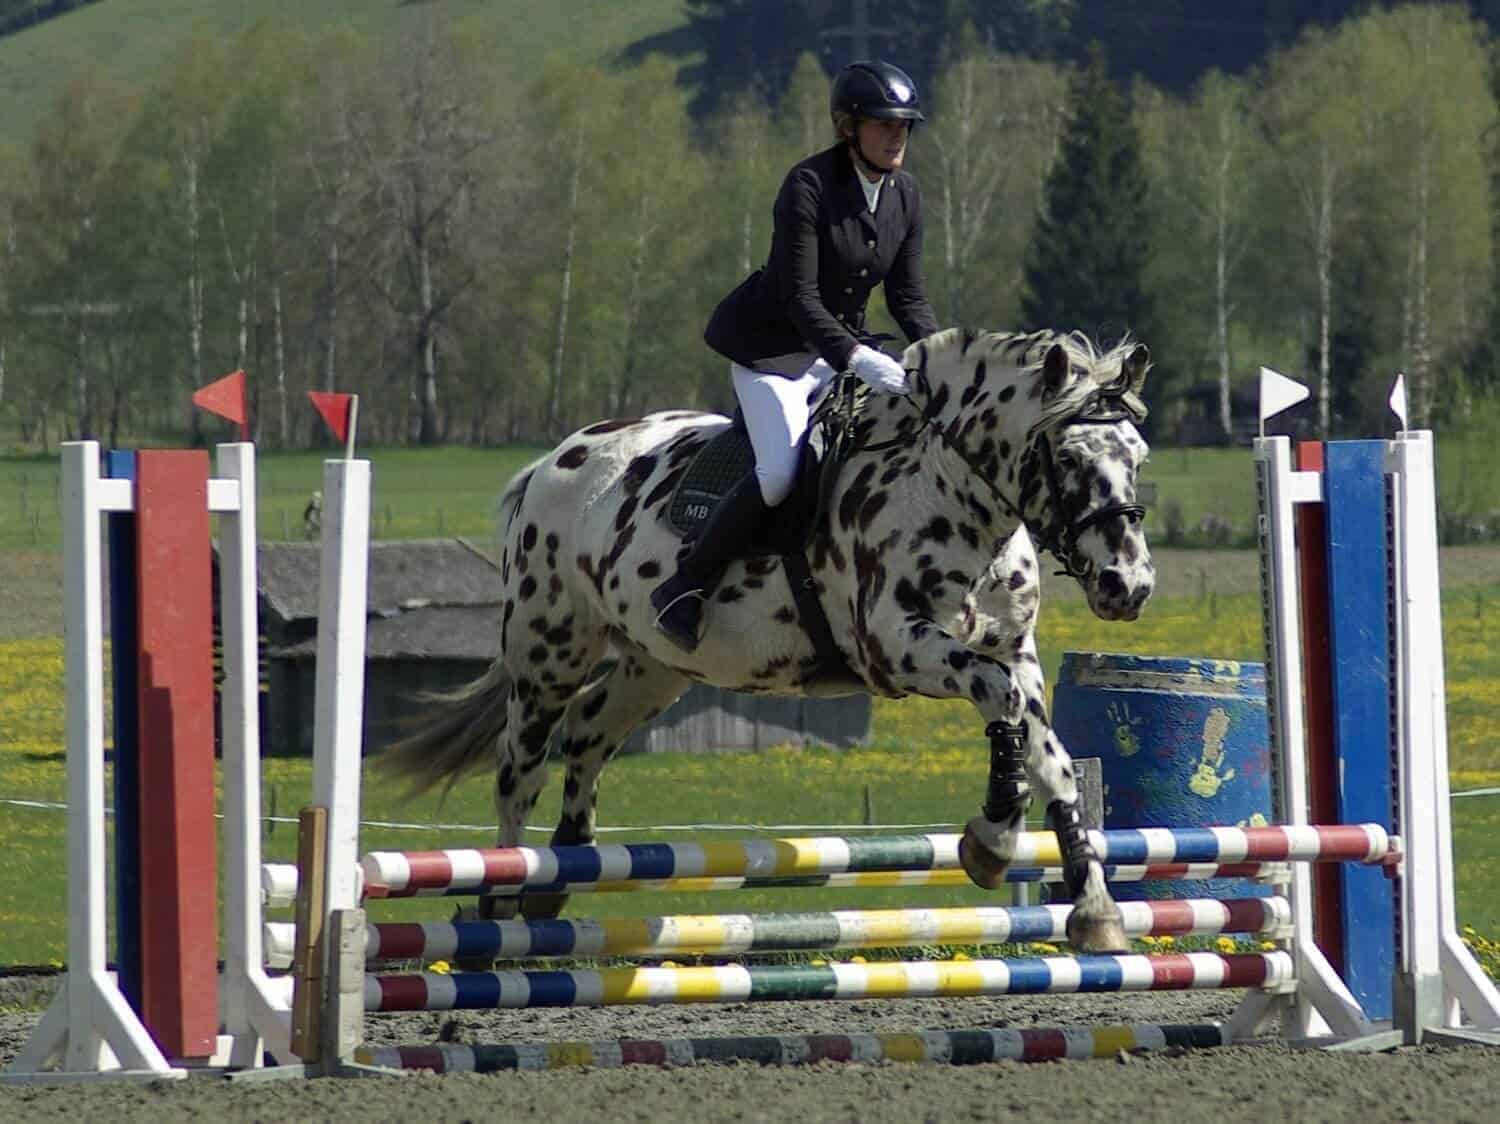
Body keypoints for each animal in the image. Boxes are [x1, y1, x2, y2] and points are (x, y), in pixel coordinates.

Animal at [387, 327, 1154, 953]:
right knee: (520, 767)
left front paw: (1092, 909)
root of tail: (554, 459)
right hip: (551, 649)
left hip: (657, 665)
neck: (951, 494)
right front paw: (992, 839)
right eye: (1068, 457)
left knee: (588, 734)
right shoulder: (898, 647)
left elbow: (1050, 756)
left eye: (1138, 456)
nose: (1129, 585)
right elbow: (1000, 706)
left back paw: (561, 874)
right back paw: (501, 900)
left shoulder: (1014, 651)